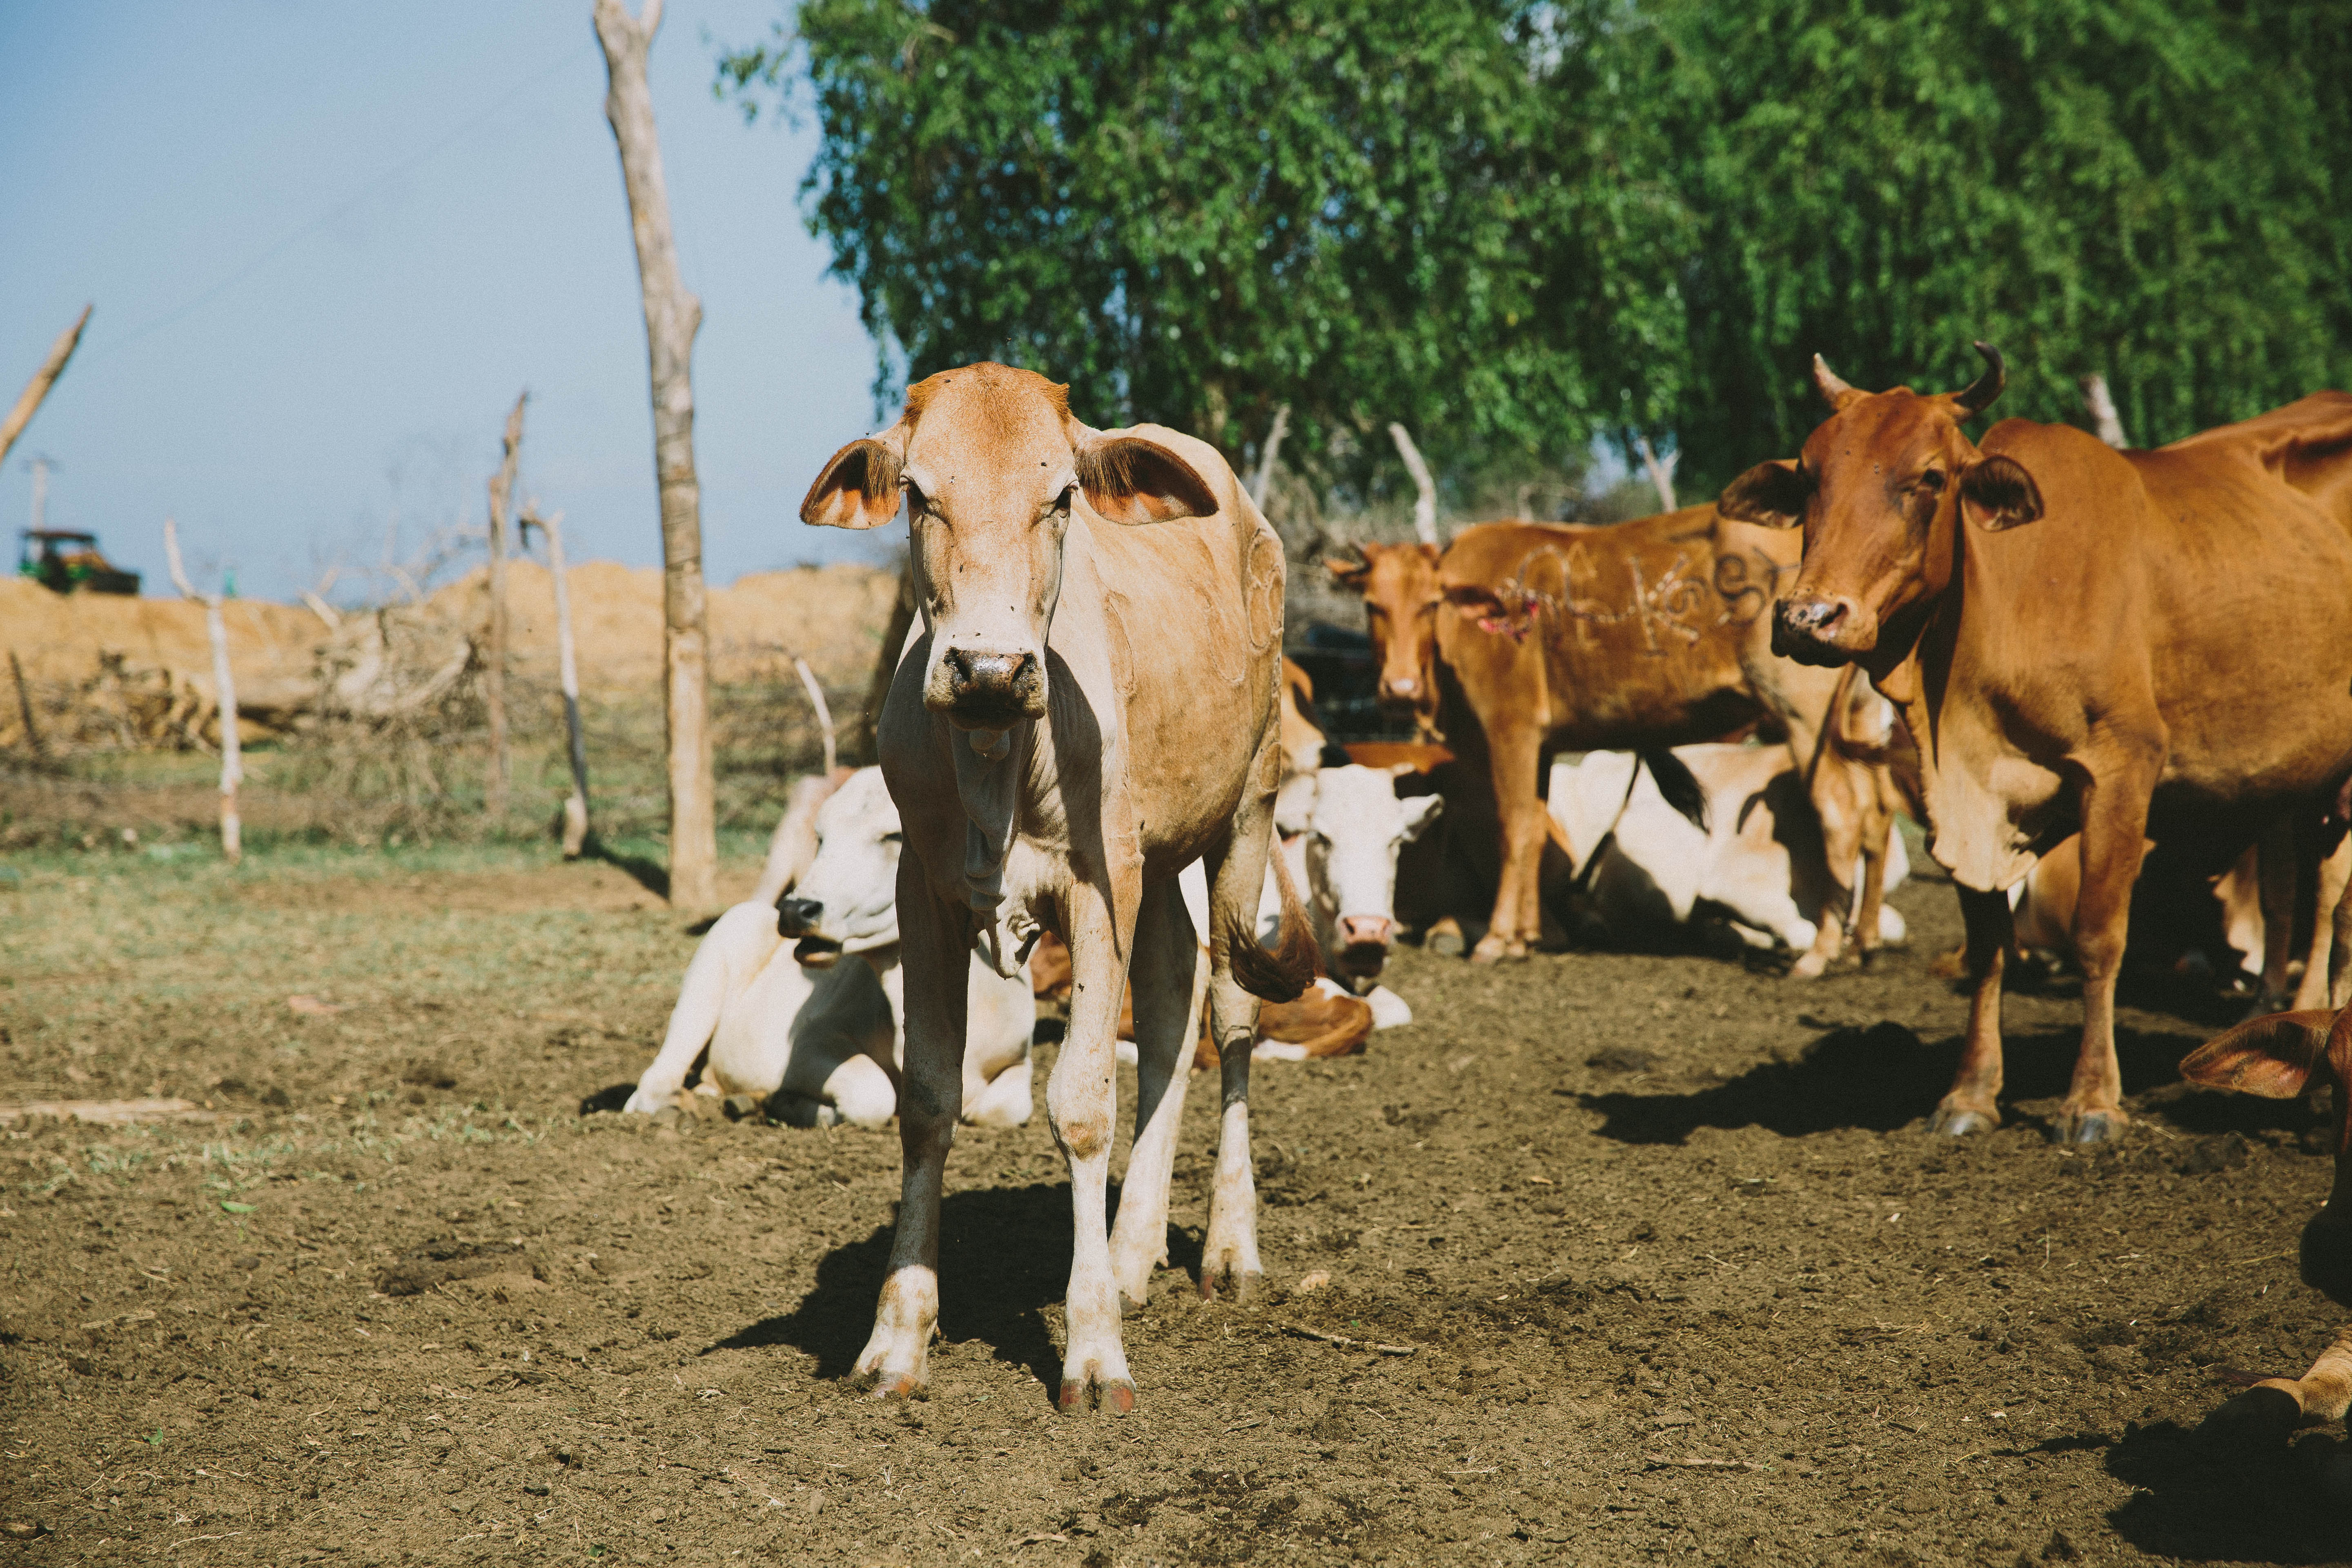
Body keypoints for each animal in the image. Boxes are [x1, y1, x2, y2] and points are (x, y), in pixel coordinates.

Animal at [626, 771, 1030, 1128]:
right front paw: (781, 1101)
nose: (795, 911)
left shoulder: (1021, 1062)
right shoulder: (806, 1045)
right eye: (820, 837)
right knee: (654, 1082)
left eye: (896, 835)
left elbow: (1009, 1109)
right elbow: (872, 1095)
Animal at [790, 364, 1307, 1410]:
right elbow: (927, 1097)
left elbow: (1079, 1102)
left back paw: (1227, 1249)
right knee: (1170, 997)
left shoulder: (1097, 885)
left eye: (1060, 497)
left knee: (1230, 1013)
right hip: (1158, 857)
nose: (988, 667)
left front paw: (1094, 1348)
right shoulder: (926, 893)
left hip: (1247, 809)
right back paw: (1134, 1249)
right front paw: (896, 1337)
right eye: (918, 495)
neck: (1000, 754)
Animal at [1722, 345, 2352, 1142]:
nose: (1809, 618)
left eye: (1931, 477)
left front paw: (2093, 1102)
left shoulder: (2122, 769)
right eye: (1809, 475)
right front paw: (1970, 1095)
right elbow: (1990, 944)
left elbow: (2098, 937)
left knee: (2330, 906)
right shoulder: (1962, 798)